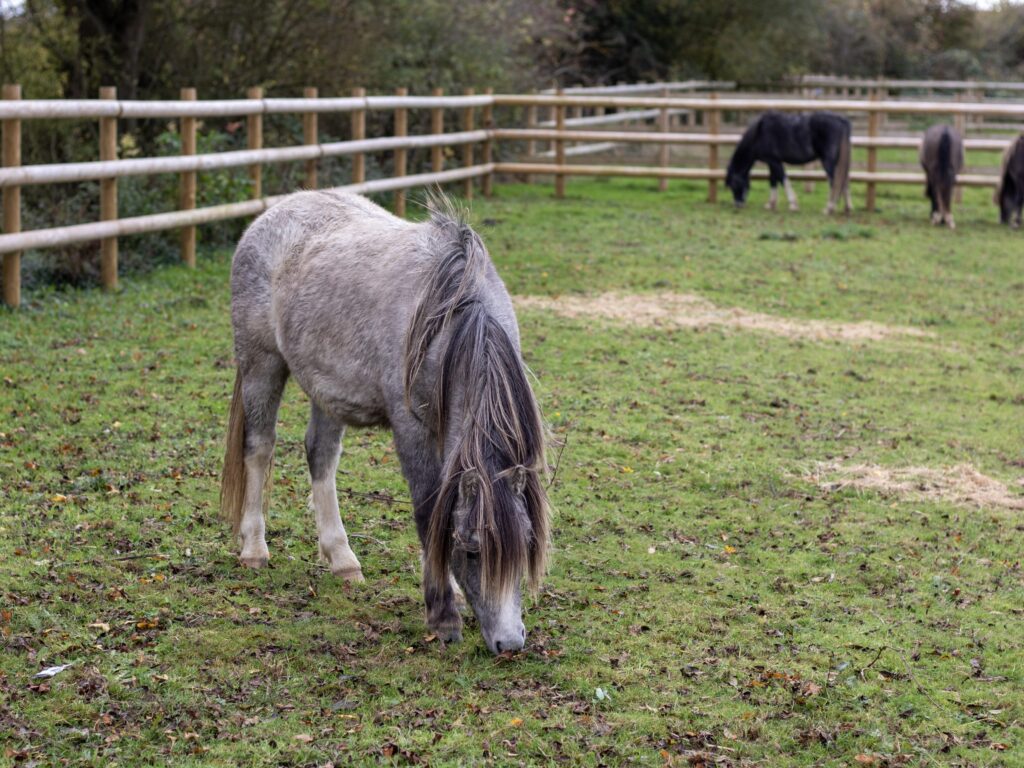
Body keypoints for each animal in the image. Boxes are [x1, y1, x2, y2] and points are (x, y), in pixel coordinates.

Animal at [219, 190, 550, 655]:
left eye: (525, 545)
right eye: (470, 549)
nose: (510, 644)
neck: (454, 313)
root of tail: (272, 214)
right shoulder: (411, 426)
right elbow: (428, 508)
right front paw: (443, 615)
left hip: (325, 390)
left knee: (321, 456)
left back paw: (342, 561)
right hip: (260, 365)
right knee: (259, 449)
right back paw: (254, 549)